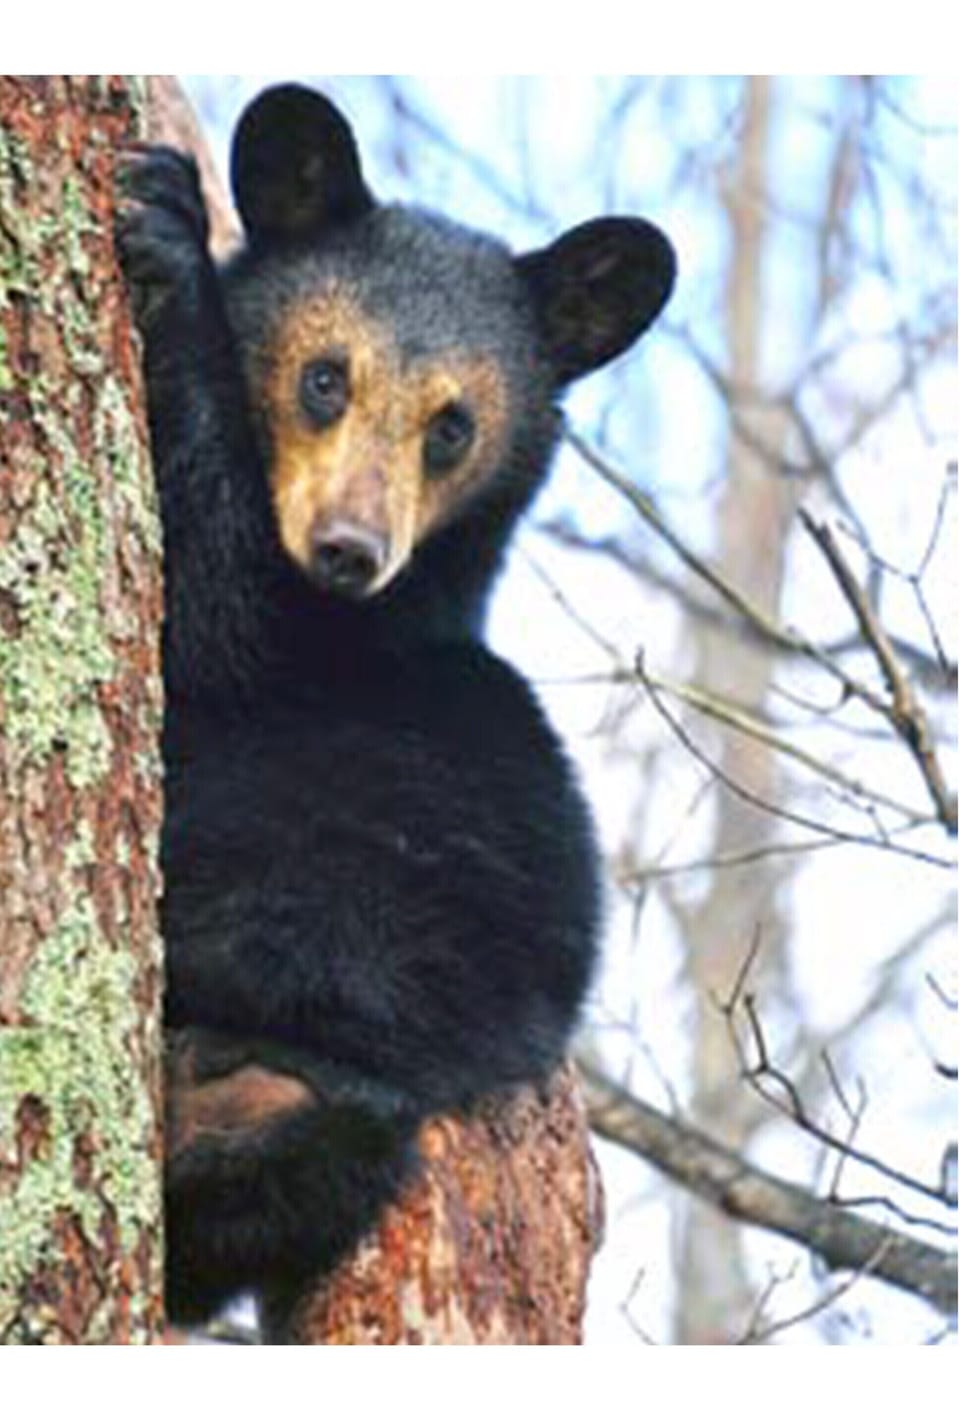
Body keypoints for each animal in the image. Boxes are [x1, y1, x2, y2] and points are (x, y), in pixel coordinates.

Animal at [117, 82, 675, 1327]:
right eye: (326, 377)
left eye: (451, 425)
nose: (349, 549)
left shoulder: (309, 640)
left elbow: (208, 608)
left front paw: (166, 231)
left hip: (334, 1069)